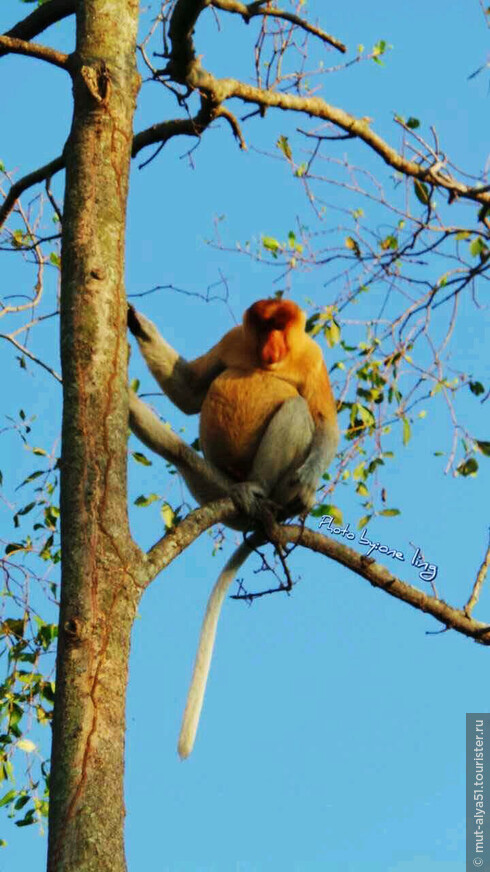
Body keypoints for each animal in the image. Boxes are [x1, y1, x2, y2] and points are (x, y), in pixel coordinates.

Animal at [128, 298, 338, 756]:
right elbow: (189, 391)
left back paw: (257, 490)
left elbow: (325, 424)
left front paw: (307, 487)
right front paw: (137, 322)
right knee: (179, 453)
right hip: (212, 480)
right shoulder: (233, 339)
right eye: (264, 326)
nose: (272, 344)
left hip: (270, 482)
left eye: (281, 326)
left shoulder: (313, 358)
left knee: (297, 411)